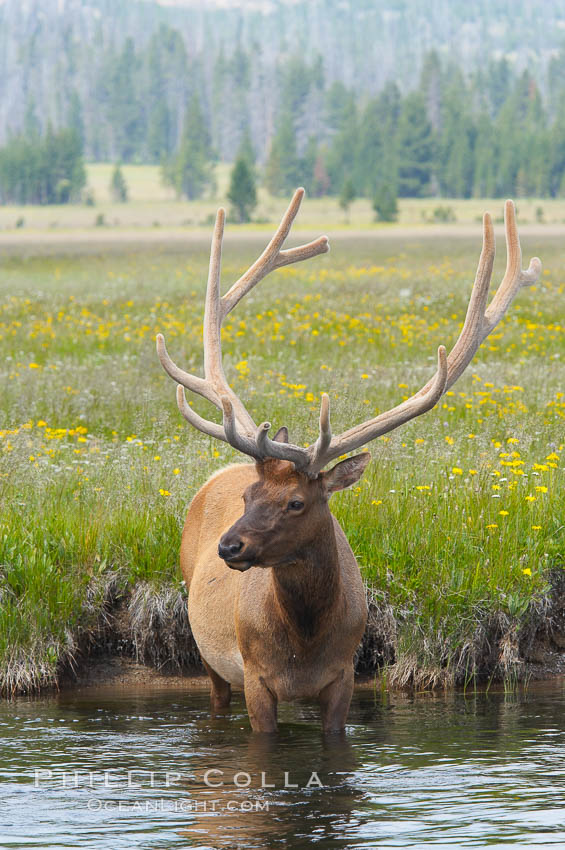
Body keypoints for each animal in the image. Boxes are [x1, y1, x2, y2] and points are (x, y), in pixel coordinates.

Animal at [155, 190, 540, 728]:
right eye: (249, 495)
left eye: (297, 502)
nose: (229, 546)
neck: (305, 643)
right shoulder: (254, 677)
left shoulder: (343, 676)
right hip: (209, 656)